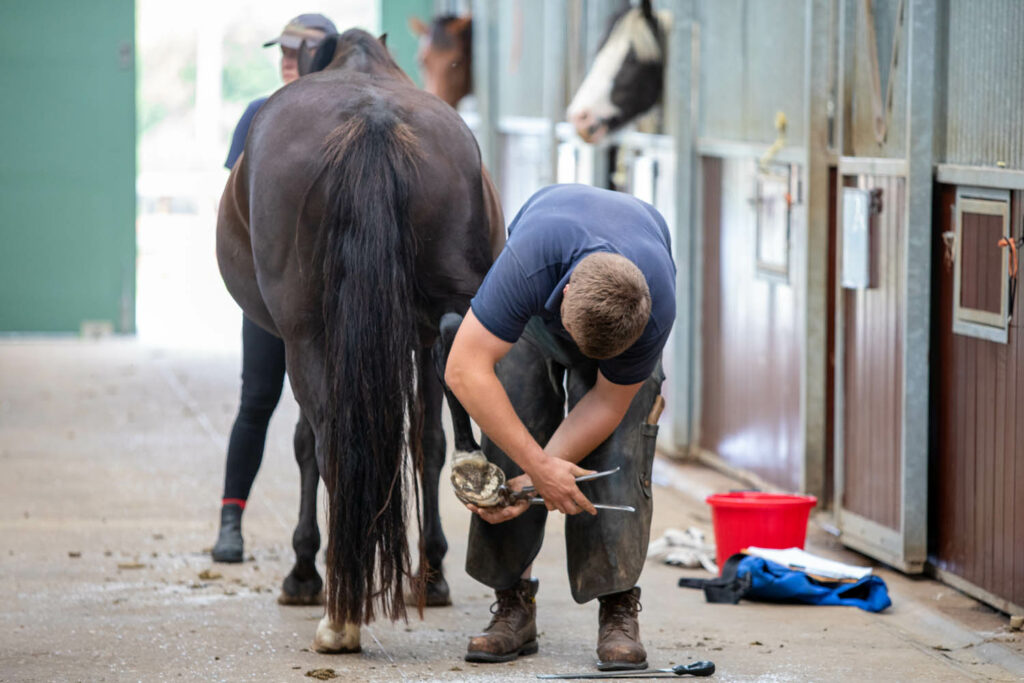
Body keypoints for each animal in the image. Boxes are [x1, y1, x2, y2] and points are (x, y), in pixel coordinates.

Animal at [217, 29, 503, 655]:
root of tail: (373, 121)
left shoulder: (303, 338)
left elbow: (304, 444)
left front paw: (302, 573)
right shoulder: (414, 333)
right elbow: (426, 441)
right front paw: (435, 575)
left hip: (306, 335)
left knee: (329, 443)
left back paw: (338, 615)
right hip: (441, 304)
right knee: (452, 346)